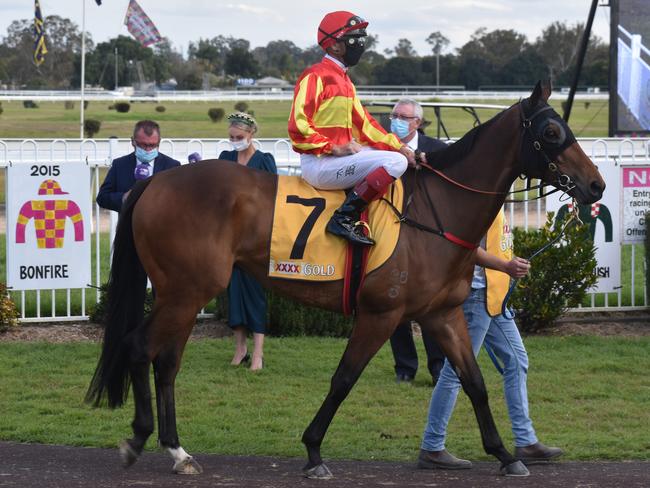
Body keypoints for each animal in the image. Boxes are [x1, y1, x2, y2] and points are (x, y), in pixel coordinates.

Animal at [85, 82, 604, 478]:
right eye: (551, 131)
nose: (596, 184)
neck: (438, 211)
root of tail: (155, 180)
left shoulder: (442, 314)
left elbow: (473, 381)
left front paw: (503, 454)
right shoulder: (381, 313)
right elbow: (344, 378)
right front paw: (314, 450)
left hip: (182, 294)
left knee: (166, 361)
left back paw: (178, 451)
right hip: (187, 290)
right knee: (140, 347)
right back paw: (140, 440)